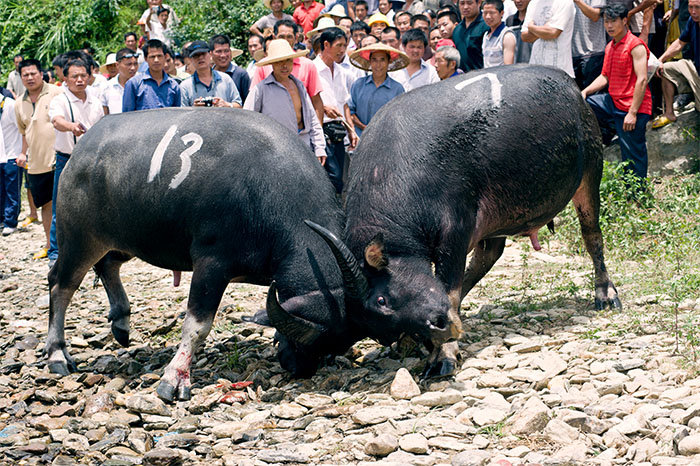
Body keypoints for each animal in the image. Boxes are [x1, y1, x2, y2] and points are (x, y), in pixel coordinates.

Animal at [44, 108, 364, 400]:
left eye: (331, 349)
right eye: (304, 344)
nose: (296, 367)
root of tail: (82, 149)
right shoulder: (211, 264)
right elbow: (197, 326)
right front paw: (174, 378)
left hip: (126, 240)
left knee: (108, 265)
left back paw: (121, 323)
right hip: (79, 238)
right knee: (61, 284)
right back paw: (57, 354)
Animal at [312, 65, 624, 376]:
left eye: (381, 299)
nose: (440, 326)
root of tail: (575, 91)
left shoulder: (456, 231)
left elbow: (449, 289)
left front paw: (443, 356)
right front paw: (414, 343)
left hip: (591, 168)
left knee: (592, 235)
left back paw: (606, 295)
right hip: (498, 214)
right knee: (490, 253)